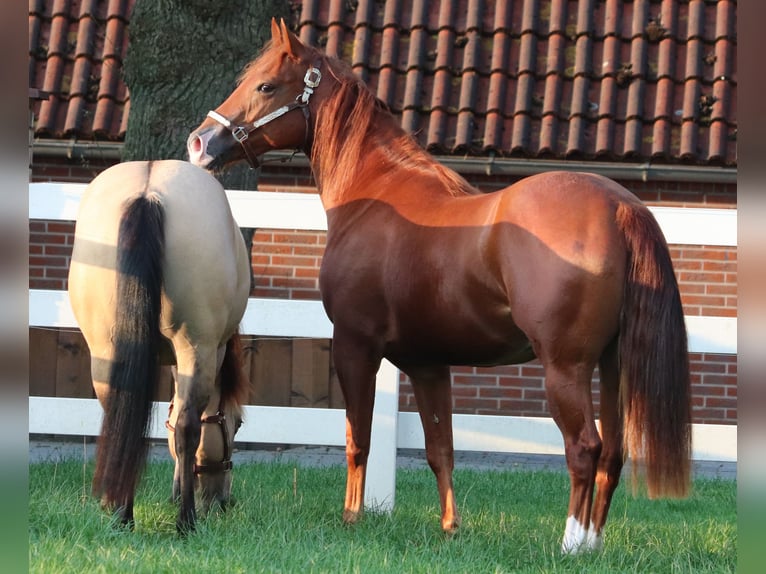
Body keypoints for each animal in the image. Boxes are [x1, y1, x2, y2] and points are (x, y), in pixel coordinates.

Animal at [67, 159, 251, 533]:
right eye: (237, 424)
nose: (223, 501)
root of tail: (148, 193)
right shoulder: (209, 352)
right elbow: (183, 421)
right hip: (196, 346)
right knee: (187, 427)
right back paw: (186, 521)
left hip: (105, 350)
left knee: (120, 418)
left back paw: (123, 514)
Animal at [187, 19, 691, 553]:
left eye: (265, 86)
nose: (199, 143)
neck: (377, 193)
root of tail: (619, 207)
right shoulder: (427, 364)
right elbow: (439, 449)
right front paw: (451, 527)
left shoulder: (354, 346)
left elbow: (358, 439)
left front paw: (352, 518)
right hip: (614, 367)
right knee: (613, 453)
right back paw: (591, 544)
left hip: (567, 370)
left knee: (584, 448)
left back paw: (571, 544)